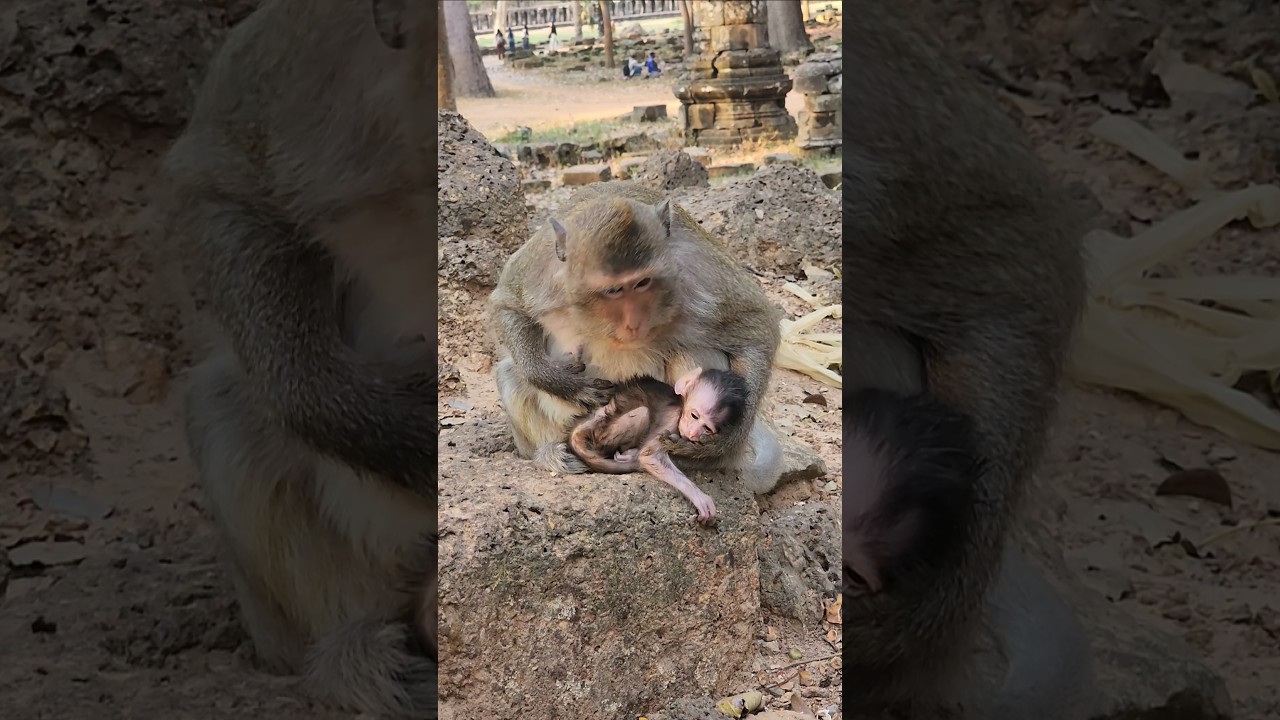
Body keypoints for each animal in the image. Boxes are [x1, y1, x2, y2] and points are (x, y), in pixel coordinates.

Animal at [489, 182, 785, 494]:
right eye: (613, 290)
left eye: (642, 283)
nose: (633, 323)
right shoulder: (541, 269)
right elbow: (508, 304)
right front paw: (564, 383)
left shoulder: (698, 269)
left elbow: (756, 323)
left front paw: (726, 438)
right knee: (510, 372)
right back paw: (551, 452)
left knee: (689, 352)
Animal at [567, 367, 750, 524]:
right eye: (694, 416)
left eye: (707, 428)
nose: (692, 434)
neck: (680, 405)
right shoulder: (672, 418)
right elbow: (650, 456)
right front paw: (698, 496)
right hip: (602, 434)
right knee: (642, 413)